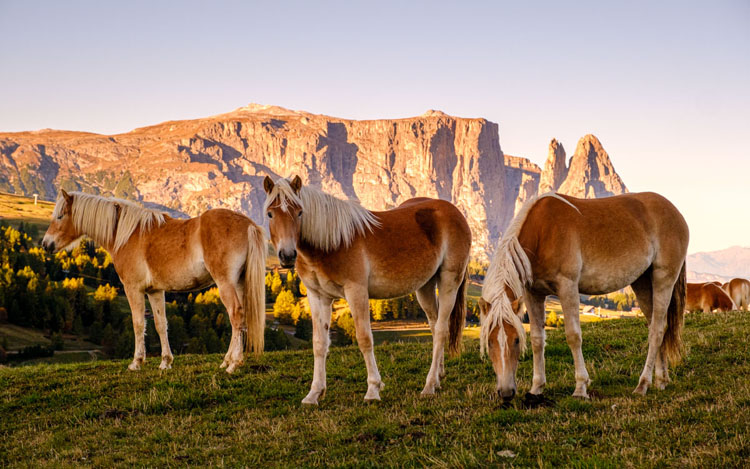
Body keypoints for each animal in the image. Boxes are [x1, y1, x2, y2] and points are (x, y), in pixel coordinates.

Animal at [42, 190, 266, 373]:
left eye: (60, 216)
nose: (46, 244)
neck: (127, 235)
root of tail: (248, 225)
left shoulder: (133, 289)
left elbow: (138, 323)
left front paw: (136, 362)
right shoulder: (155, 291)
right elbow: (160, 324)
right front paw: (165, 362)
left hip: (225, 284)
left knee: (236, 315)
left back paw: (233, 364)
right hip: (239, 284)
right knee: (240, 319)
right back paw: (227, 361)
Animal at [263, 176, 471, 404]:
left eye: (299, 212)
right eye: (270, 213)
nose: (287, 255)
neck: (333, 243)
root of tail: (455, 212)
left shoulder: (356, 292)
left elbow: (364, 339)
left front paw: (373, 390)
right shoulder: (318, 296)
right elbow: (319, 343)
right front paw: (314, 393)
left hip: (449, 281)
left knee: (441, 329)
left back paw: (429, 385)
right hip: (425, 286)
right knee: (434, 326)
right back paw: (439, 375)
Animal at [478, 192, 688, 401]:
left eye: (516, 340)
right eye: (489, 341)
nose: (506, 392)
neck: (542, 233)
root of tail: (675, 212)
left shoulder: (567, 287)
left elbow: (573, 336)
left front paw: (581, 387)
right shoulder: (533, 294)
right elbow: (537, 339)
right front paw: (536, 388)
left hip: (663, 279)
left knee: (657, 331)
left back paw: (643, 384)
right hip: (643, 283)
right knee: (656, 326)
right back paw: (661, 380)